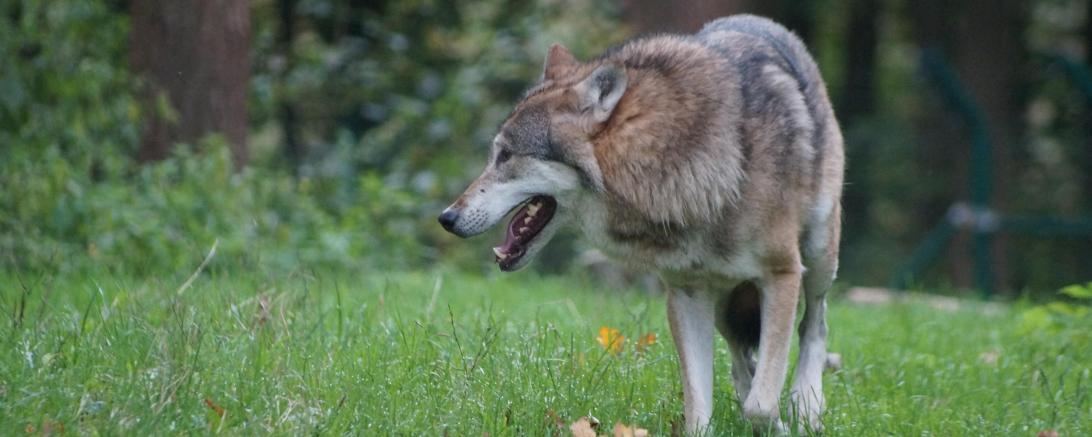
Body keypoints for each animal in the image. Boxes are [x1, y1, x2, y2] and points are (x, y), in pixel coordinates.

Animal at [438, 15, 843, 434]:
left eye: (505, 155)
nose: (446, 217)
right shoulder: (686, 292)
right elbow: (702, 407)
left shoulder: (781, 274)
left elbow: (761, 404)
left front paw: (780, 420)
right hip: (723, 299)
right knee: (741, 355)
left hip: (817, 257)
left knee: (815, 325)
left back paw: (807, 405)